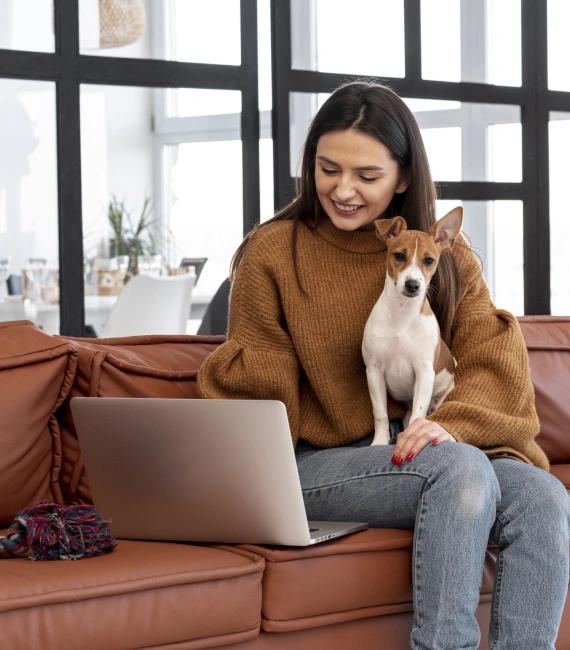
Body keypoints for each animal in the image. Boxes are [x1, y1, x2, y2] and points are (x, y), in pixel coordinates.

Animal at [362, 205, 464, 442]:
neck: (403, 315)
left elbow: (419, 415)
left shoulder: (424, 372)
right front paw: (380, 442)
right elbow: (380, 414)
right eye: (399, 255)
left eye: (429, 260)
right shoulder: (374, 372)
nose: (413, 284)